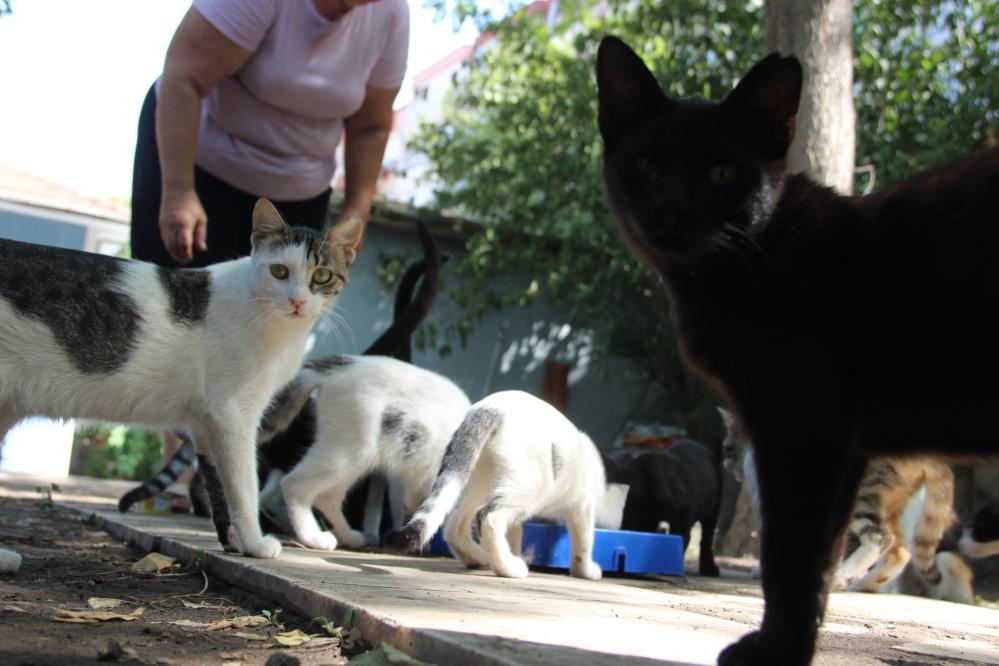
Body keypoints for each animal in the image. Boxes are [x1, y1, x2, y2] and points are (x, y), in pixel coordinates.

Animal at [0, 200, 364, 556]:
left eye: (321, 275)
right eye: (279, 271)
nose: (298, 301)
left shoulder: (205, 423)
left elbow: (216, 484)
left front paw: (234, 543)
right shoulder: (233, 414)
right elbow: (244, 485)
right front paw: (256, 543)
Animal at [262, 352, 472, 548]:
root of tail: (339, 366)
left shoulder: (410, 478)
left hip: (352, 456)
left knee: (327, 498)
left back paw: (350, 537)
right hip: (350, 450)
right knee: (293, 484)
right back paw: (313, 537)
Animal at [386, 386, 628, 580]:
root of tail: (490, 407)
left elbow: (514, 534)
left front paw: (515, 551)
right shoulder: (582, 504)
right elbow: (583, 540)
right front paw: (585, 571)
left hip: (479, 483)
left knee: (454, 525)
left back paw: (477, 558)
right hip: (529, 485)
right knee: (488, 517)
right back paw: (509, 569)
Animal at [600, 438, 720, 572]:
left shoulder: (681, 519)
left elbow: (681, 540)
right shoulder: (646, 520)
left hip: (712, 511)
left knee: (707, 537)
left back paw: (709, 568)